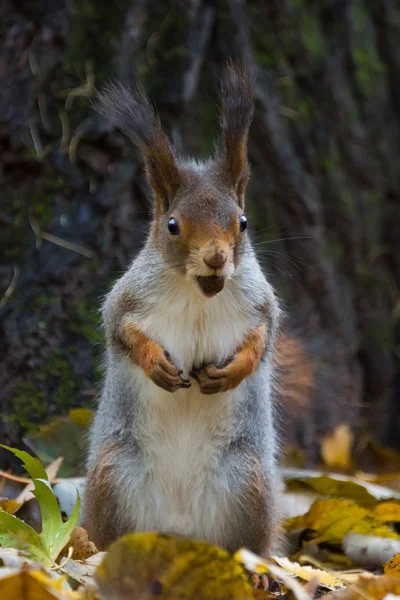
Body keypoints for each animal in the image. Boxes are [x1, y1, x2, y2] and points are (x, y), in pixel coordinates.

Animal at [84, 63, 284, 556]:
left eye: (242, 222)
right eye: (173, 225)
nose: (215, 257)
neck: (200, 294)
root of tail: (178, 528)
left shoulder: (261, 302)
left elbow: (264, 337)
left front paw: (232, 371)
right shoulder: (128, 297)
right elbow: (120, 329)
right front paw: (156, 362)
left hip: (247, 480)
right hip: (113, 475)